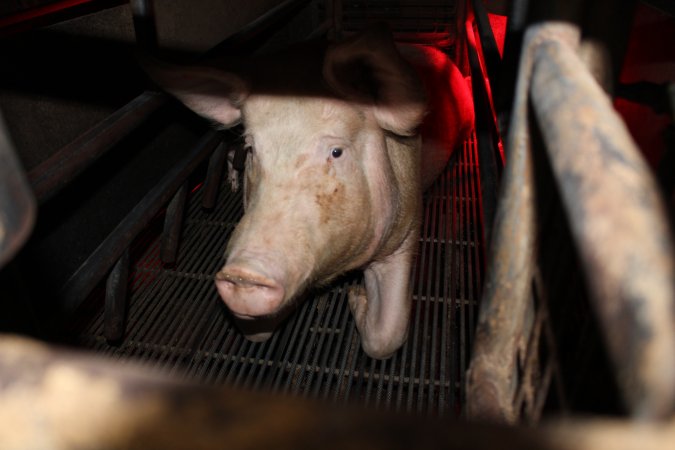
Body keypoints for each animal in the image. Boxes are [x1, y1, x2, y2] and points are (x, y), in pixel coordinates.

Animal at [145, 27, 472, 358]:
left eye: (336, 152)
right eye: (252, 149)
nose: (243, 272)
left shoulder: (406, 231)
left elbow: (385, 337)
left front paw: (355, 294)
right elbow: (256, 334)